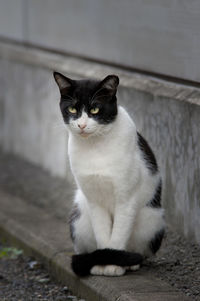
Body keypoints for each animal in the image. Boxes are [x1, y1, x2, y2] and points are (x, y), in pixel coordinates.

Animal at [53, 71, 166, 276]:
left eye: (95, 110)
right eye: (72, 109)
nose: (82, 125)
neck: (96, 146)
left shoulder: (126, 199)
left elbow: (119, 233)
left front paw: (114, 265)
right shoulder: (94, 199)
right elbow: (102, 233)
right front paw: (102, 263)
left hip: (151, 220)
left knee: (140, 251)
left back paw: (130, 262)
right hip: (79, 217)